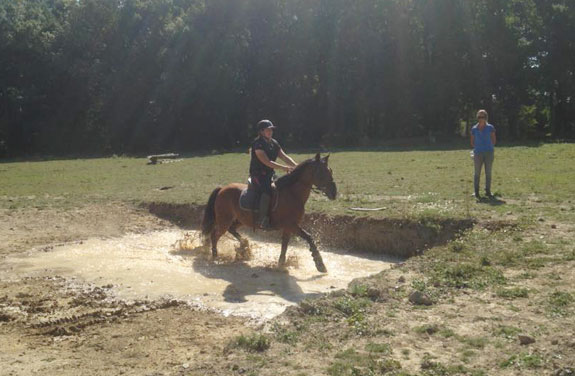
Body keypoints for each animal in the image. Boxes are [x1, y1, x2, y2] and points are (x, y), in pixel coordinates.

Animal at [202, 153, 338, 274]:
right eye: (321, 172)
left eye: (331, 171)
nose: (334, 192)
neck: (292, 194)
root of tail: (222, 189)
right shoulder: (292, 225)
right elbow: (309, 238)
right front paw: (320, 264)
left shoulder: (288, 228)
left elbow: (284, 246)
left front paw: (281, 265)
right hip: (224, 220)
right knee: (214, 235)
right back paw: (215, 256)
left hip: (240, 220)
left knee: (231, 229)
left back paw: (244, 247)